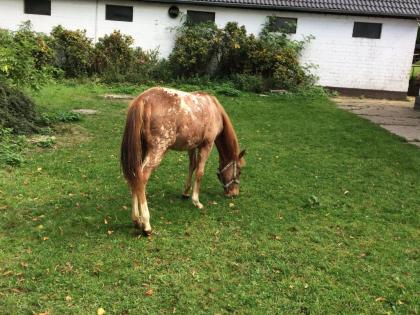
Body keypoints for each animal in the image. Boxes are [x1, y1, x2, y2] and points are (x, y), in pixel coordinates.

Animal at [120, 87, 244, 236]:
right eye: (239, 172)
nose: (234, 193)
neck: (214, 108)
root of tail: (142, 100)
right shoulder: (206, 145)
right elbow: (200, 172)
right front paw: (196, 201)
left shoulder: (192, 145)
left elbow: (192, 166)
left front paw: (186, 192)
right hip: (157, 150)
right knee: (142, 178)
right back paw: (146, 224)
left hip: (141, 150)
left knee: (135, 177)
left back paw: (136, 220)